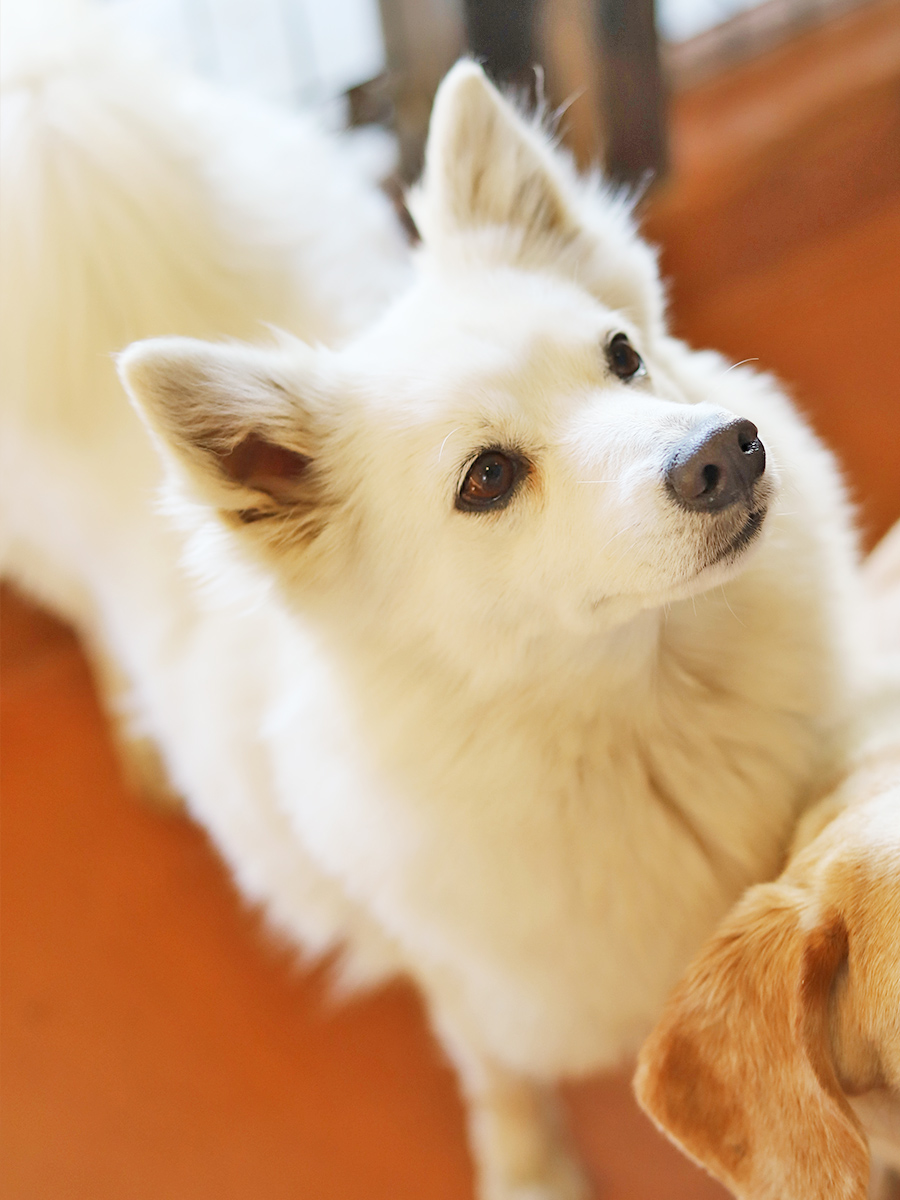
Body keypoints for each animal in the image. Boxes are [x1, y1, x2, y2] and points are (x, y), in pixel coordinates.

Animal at [0, 7, 864, 1190]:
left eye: (624, 354)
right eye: (486, 478)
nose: (728, 451)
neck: (646, 713)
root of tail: (53, 89)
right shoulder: (458, 974)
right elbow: (499, 1075)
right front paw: (530, 1171)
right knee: (93, 619)